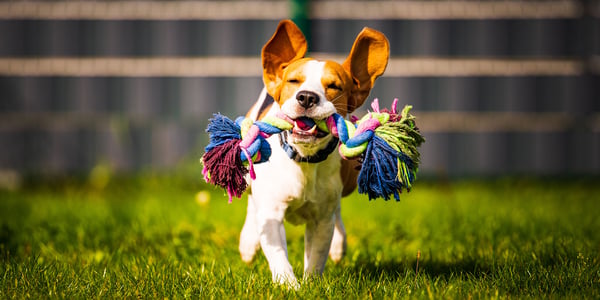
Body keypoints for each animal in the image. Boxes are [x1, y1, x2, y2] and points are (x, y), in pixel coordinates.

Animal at [238, 19, 390, 288]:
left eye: (334, 86)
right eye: (293, 81)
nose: (307, 97)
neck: (304, 159)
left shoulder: (321, 219)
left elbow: (317, 255)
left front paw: (311, 285)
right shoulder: (272, 212)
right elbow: (278, 253)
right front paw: (288, 286)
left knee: (337, 212)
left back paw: (339, 245)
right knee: (251, 201)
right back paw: (248, 242)